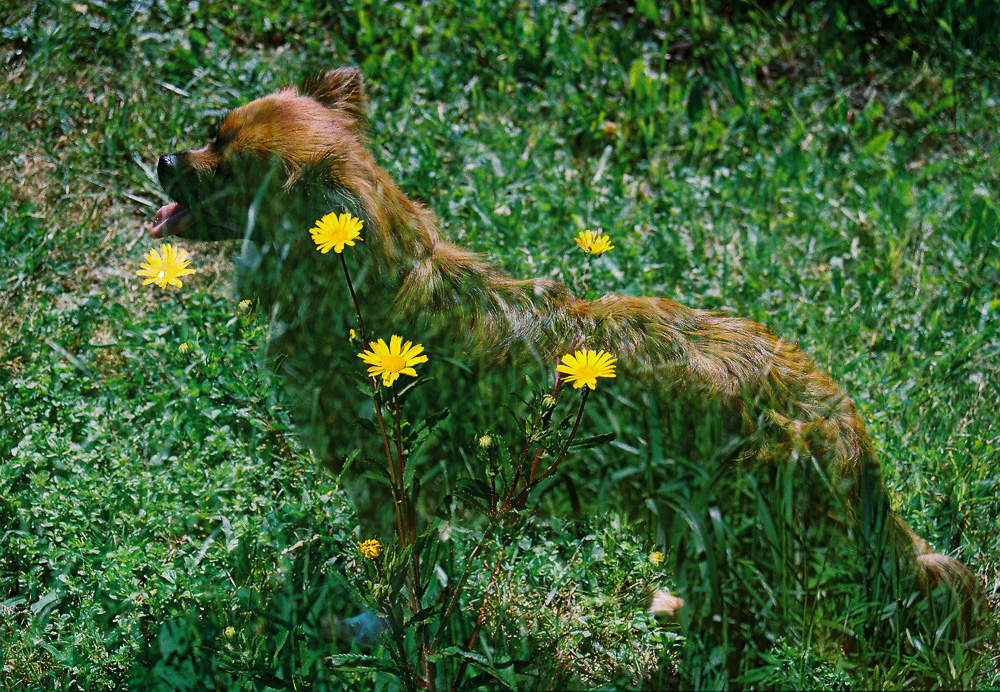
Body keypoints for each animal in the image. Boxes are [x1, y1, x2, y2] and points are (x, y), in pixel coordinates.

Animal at [148, 69, 984, 680]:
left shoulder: (393, 488)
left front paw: (370, 631)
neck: (367, 279)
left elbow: (400, 581)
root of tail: (834, 409)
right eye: (211, 131)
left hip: (728, 529)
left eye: (228, 168)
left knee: (755, 634)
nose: (164, 160)